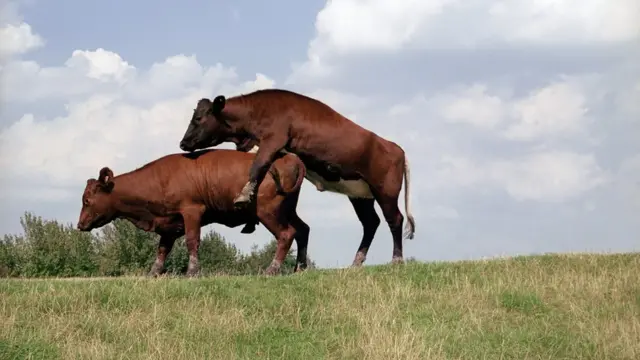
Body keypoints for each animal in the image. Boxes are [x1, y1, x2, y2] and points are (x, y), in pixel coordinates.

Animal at [76, 148, 312, 278]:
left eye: (87, 200)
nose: (80, 225)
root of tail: (287, 158)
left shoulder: (192, 212)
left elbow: (192, 241)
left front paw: (192, 271)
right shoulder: (169, 224)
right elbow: (162, 249)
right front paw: (154, 272)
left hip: (268, 212)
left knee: (286, 234)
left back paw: (272, 269)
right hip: (287, 211)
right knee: (303, 230)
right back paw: (300, 268)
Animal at [179, 88, 416, 266]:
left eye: (198, 118)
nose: (183, 143)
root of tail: (395, 147)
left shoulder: (273, 139)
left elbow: (257, 166)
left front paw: (244, 195)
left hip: (386, 190)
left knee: (395, 219)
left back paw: (396, 260)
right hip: (360, 194)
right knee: (371, 223)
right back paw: (356, 262)